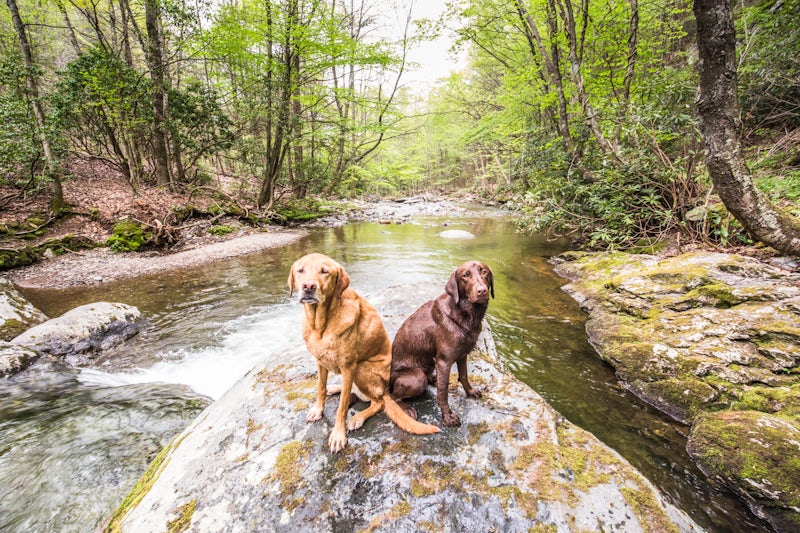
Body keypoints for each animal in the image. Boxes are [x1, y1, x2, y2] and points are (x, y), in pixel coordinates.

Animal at [288, 251, 438, 450]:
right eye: (300, 270)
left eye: (325, 272)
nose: (308, 287)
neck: (321, 325)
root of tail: (386, 390)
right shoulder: (320, 361)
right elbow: (320, 388)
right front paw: (318, 409)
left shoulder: (348, 366)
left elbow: (342, 407)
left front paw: (338, 435)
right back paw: (333, 388)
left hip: (362, 370)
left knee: (377, 402)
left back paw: (358, 417)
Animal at [390, 260, 494, 426]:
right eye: (465, 275)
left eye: (484, 271)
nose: (482, 291)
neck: (466, 315)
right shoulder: (444, 361)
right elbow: (443, 392)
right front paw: (448, 416)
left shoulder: (462, 355)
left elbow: (464, 376)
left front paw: (470, 392)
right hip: (416, 377)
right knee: (392, 396)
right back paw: (407, 409)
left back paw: (432, 378)